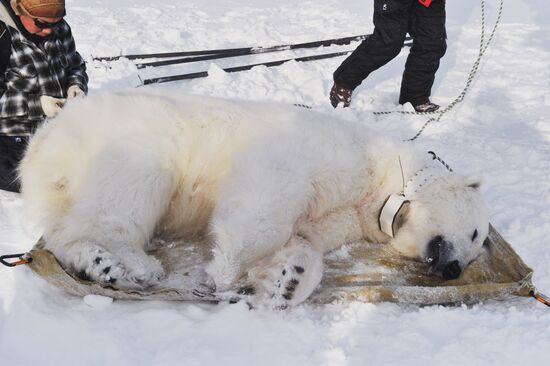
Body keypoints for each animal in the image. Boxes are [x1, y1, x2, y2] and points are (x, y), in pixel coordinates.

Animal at [19, 91, 490, 306]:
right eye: (473, 233)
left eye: (475, 248)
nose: (452, 268)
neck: (383, 176)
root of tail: (45, 140)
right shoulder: (312, 154)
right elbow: (266, 202)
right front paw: (224, 273)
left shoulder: (341, 216)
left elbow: (303, 241)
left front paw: (288, 280)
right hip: (130, 144)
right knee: (123, 198)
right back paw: (134, 264)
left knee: (65, 226)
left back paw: (105, 265)